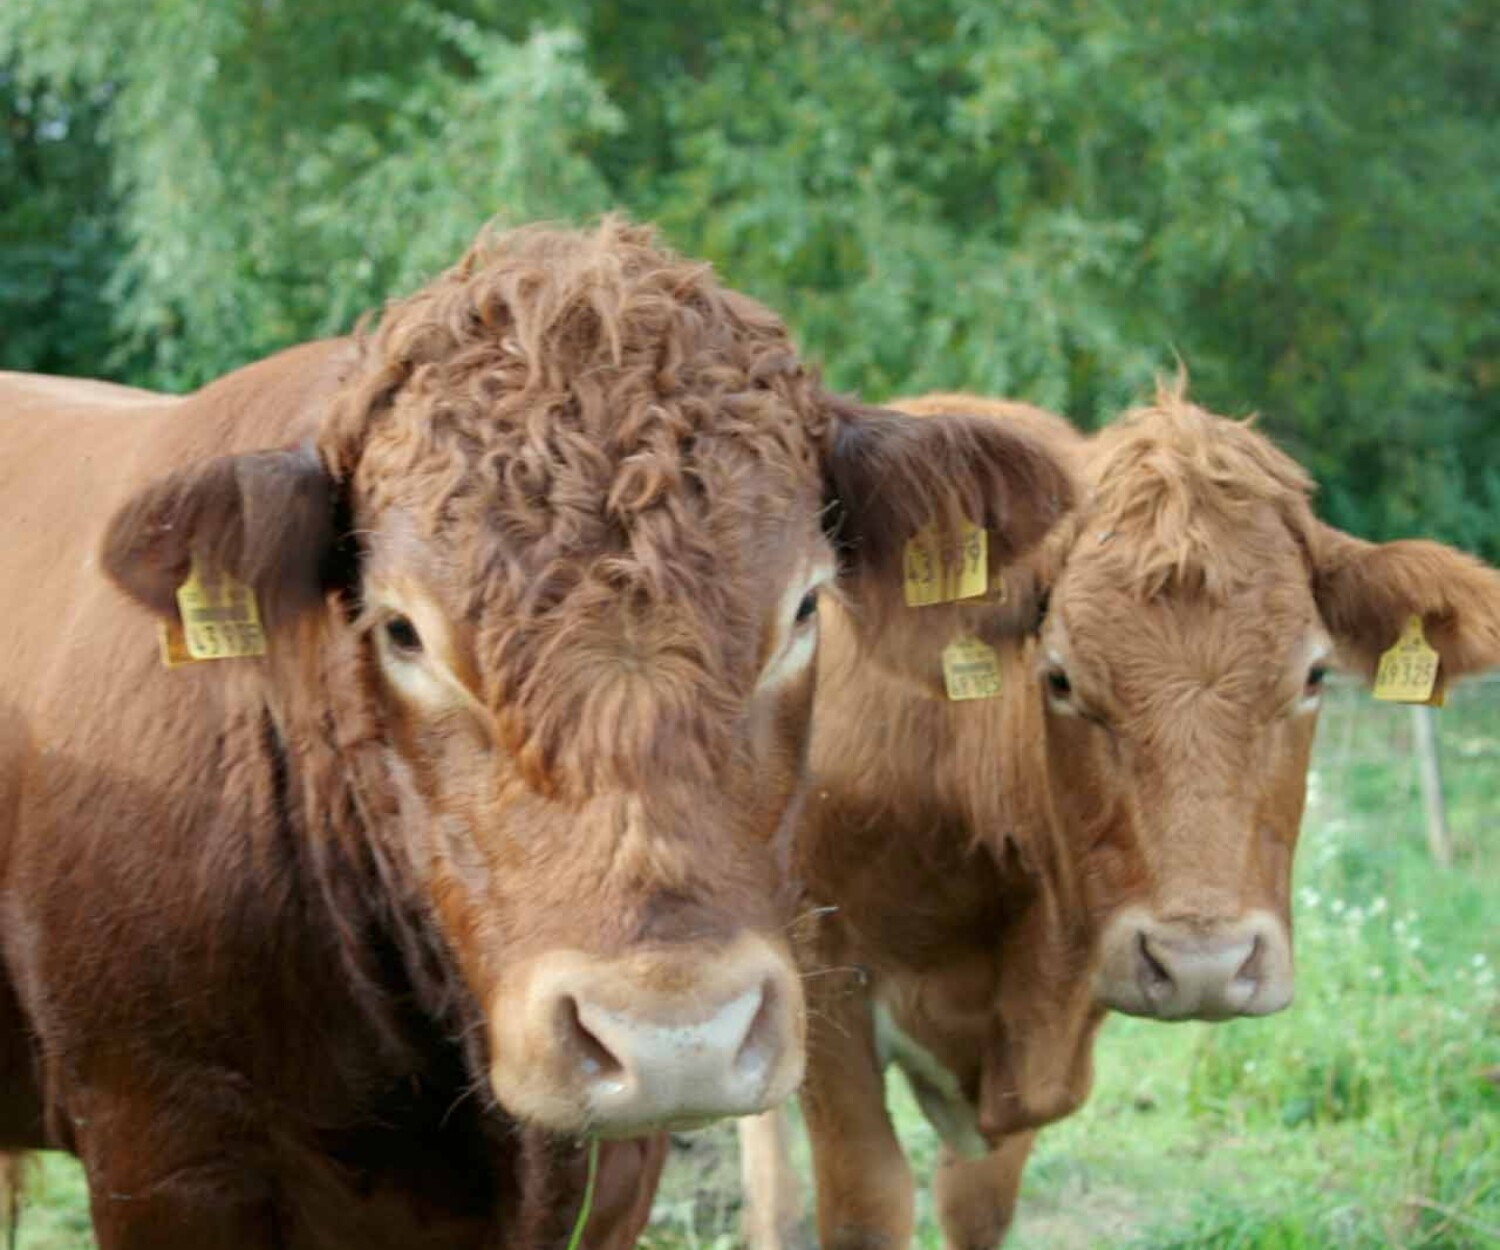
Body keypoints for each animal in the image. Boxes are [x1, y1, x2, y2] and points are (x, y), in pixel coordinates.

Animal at [739, 384, 1500, 1250]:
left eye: (1314, 675)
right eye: (1061, 678)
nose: (1205, 965)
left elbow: (977, 1202)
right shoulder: (825, 980)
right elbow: (866, 1196)